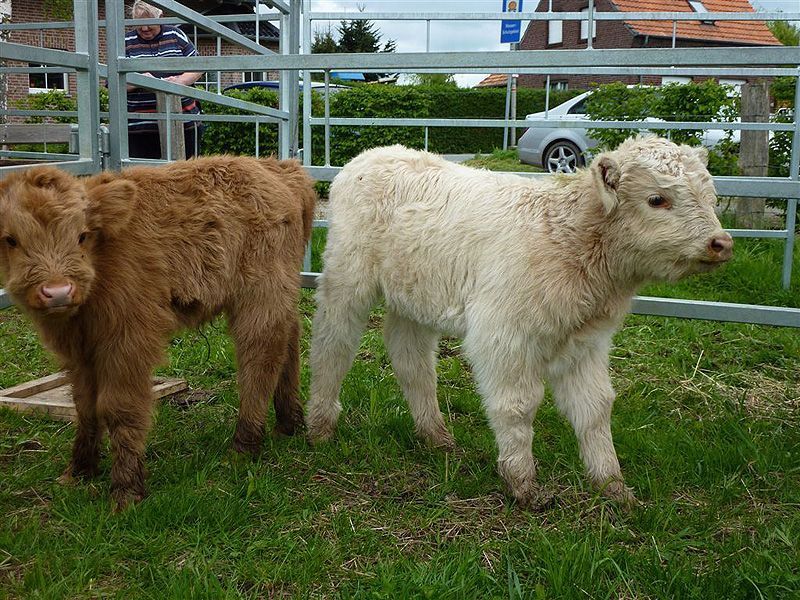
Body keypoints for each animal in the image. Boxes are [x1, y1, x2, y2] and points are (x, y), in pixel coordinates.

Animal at [0, 157, 316, 508]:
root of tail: (279, 167)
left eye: (82, 236)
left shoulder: (128, 341)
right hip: (279, 295)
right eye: (11, 239)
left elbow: (118, 408)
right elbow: (84, 406)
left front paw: (126, 491)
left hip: (261, 295)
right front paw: (78, 472)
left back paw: (243, 447)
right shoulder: (79, 352)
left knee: (260, 359)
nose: (57, 292)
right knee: (288, 342)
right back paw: (288, 424)